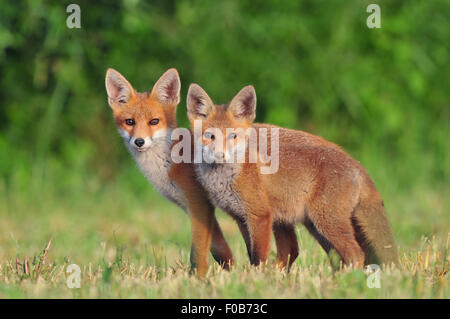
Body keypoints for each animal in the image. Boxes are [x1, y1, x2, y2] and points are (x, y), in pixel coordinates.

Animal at [104, 68, 236, 278]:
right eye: (129, 122)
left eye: (154, 121)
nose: (139, 141)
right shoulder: (194, 207)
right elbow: (220, 249)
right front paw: (234, 273)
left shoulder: (199, 204)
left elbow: (199, 252)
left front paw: (198, 278)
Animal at [185, 83, 398, 270]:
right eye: (210, 136)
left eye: (233, 136)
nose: (220, 154)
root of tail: (356, 163)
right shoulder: (241, 218)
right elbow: (251, 253)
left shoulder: (259, 216)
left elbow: (258, 256)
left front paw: (258, 278)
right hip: (312, 225)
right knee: (315, 254)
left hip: (325, 222)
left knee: (356, 254)